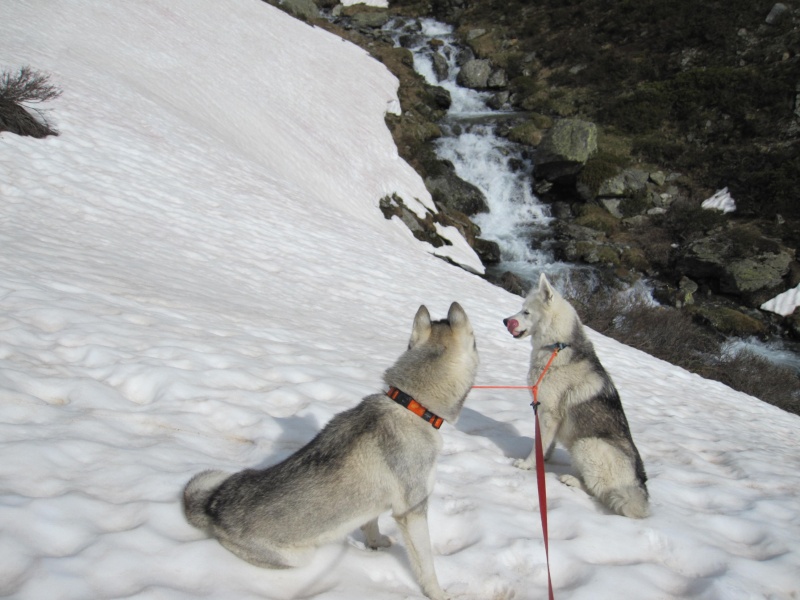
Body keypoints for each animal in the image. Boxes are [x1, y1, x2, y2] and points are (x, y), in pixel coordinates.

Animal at [184, 302, 478, 596]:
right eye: (475, 340)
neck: (413, 405)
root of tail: (213, 507)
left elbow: (371, 523)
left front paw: (376, 543)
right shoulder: (412, 511)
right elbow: (426, 567)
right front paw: (438, 594)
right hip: (298, 557)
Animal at [506, 274, 648, 516]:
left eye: (526, 312)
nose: (505, 321)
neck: (557, 346)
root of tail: (640, 489)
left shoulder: (549, 414)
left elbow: (539, 445)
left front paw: (527, 465)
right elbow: (546, 444)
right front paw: (543, 460)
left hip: (586, 445)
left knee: (599, 491)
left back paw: (571, 480)